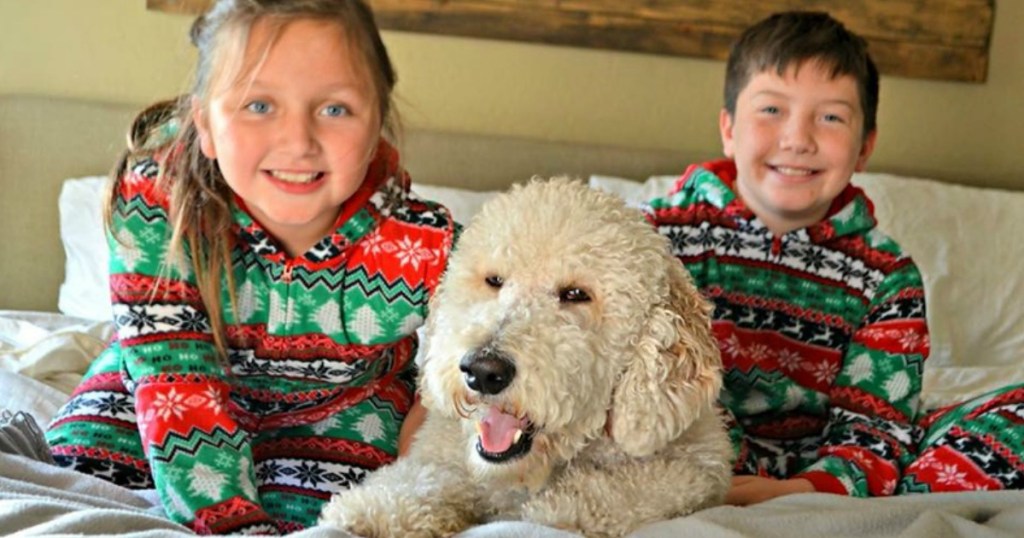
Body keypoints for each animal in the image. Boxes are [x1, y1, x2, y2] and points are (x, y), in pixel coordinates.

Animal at [319, 179, 729, 536]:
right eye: (495, 281)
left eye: (576, 294)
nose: (483, 371)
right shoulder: (447, 458)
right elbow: (422, 479)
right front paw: (369, 510)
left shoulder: (698, 471)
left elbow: (634, 485)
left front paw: (559, 506)